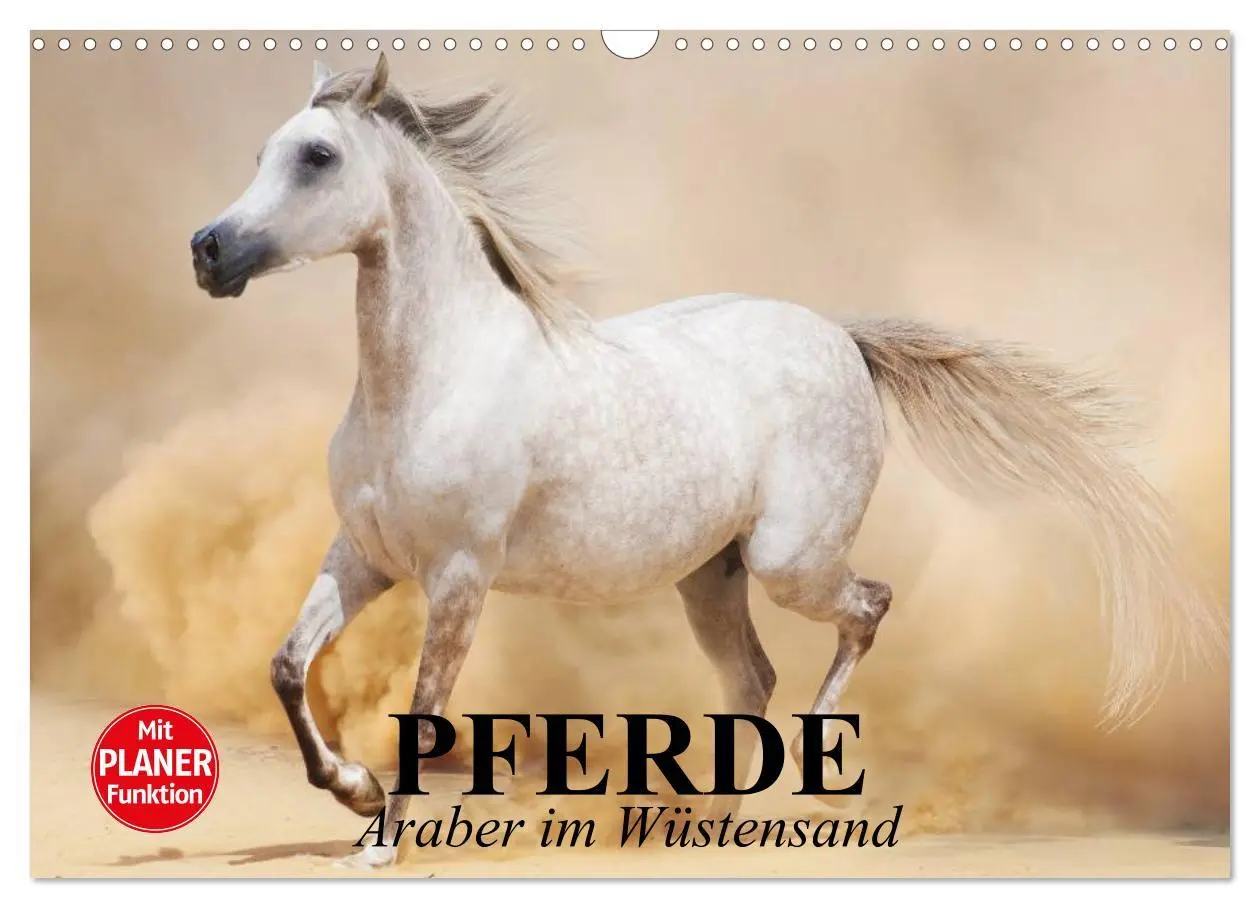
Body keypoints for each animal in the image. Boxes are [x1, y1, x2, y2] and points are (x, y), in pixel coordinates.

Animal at [190, 55, 1220, 868]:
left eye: (318, 157)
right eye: (261, 154)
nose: (209, 250)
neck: (434, 378)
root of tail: (843, 339)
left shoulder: (458, 577)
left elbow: (427, 703)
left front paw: (380, 842)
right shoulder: (364, 558)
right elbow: (287, 668)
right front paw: (356, 791)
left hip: (789, 561)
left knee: (867, 610)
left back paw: (804, 771)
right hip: (709, 577)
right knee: (752, 677)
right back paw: (713, 822)